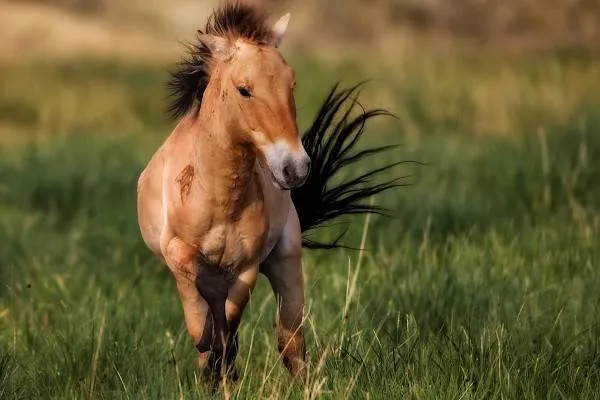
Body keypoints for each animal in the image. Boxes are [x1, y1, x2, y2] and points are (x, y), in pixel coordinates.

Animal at [137, 0, 408, 382]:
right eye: (244, 89)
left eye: (291, 83)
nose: (295, 167)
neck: (219, 198)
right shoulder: (175, 250)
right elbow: (202, 303)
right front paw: (209, 349)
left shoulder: (249, 264)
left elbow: (230, 322)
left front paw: (221, 357)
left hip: (287, 262)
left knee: (290, 343)